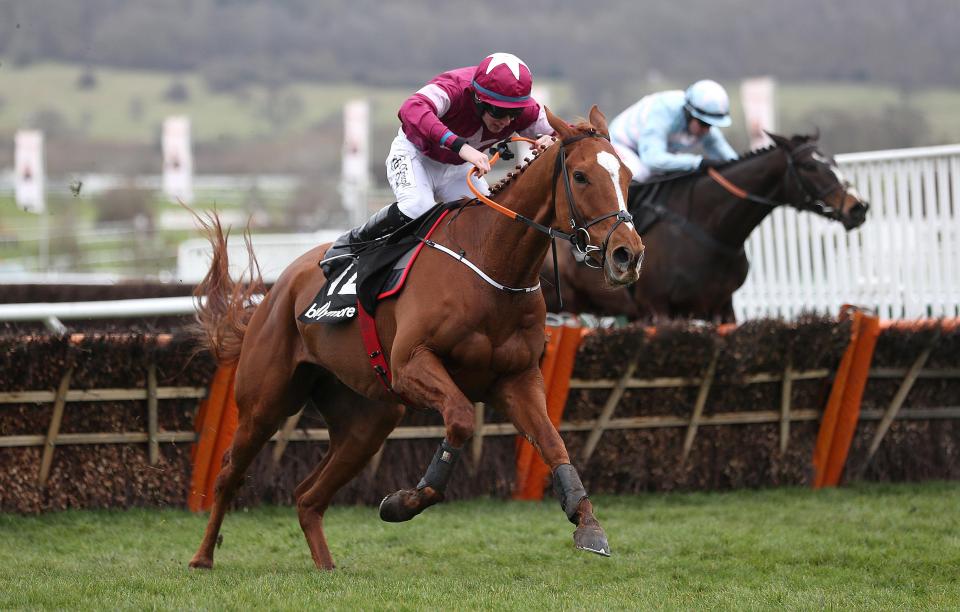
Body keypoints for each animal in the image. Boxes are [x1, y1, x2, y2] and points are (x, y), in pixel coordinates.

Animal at [188, 107, 644, 572]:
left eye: (627, 175)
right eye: (582, 176)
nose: (627, 254)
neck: (491, 265)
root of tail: (279, 288)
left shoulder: (517, 379)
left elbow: (553, 443)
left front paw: (588, 524)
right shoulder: (411, 365)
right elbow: (460, 418)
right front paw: (404, 502)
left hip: (368, 421)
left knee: (307, 496)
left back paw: (326, 567)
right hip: (265, 402)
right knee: (229, 474)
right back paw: (202, 558)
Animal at [548, 132, 872, 322]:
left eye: (832, 160)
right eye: (810, 166)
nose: (858, 207)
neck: (711, 232)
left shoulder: (721, 306)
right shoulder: (658, 308)